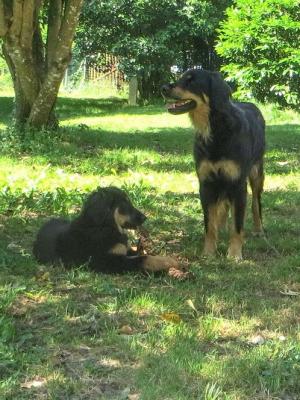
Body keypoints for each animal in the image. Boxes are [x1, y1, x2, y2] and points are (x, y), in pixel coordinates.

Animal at [33, 187, 178, 274]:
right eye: (125, 204)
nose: (144, 218)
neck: (104, 227)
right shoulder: (108, 261)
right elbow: (143, 258)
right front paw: (170, 262)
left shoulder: (124, 249)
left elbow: (141, 254)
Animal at [162, 69, 264, 260]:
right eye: (181, 77)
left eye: (192, 81)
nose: (164, 88)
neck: (215, 129)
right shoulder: (206, 183)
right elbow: (209, 223)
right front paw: (209, 252)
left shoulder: (238, 184)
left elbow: (237, 224)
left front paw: (234, 254)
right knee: (223, 206)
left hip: (256, 173)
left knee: (256, 202)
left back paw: (259, 228)